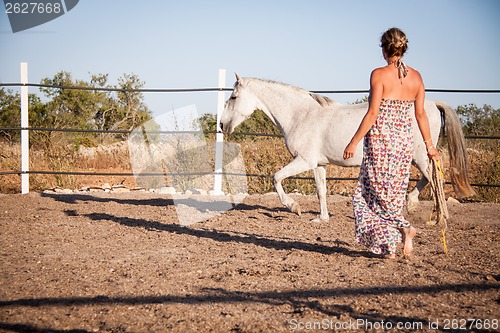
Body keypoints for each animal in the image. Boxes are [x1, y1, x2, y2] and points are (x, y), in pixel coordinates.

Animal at [221, 74, 474, 222]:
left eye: (233, 97)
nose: (223, 125)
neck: (301, 114)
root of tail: (430, 104)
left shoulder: (304, 161)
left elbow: (276, 178)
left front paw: (294, 207)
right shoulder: (319, 164)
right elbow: (321, 191)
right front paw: (321, 218)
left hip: (421, 156)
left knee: (436, 179)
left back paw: (439, 217)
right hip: (415, 157)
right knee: (429, 178)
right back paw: (411, 206)